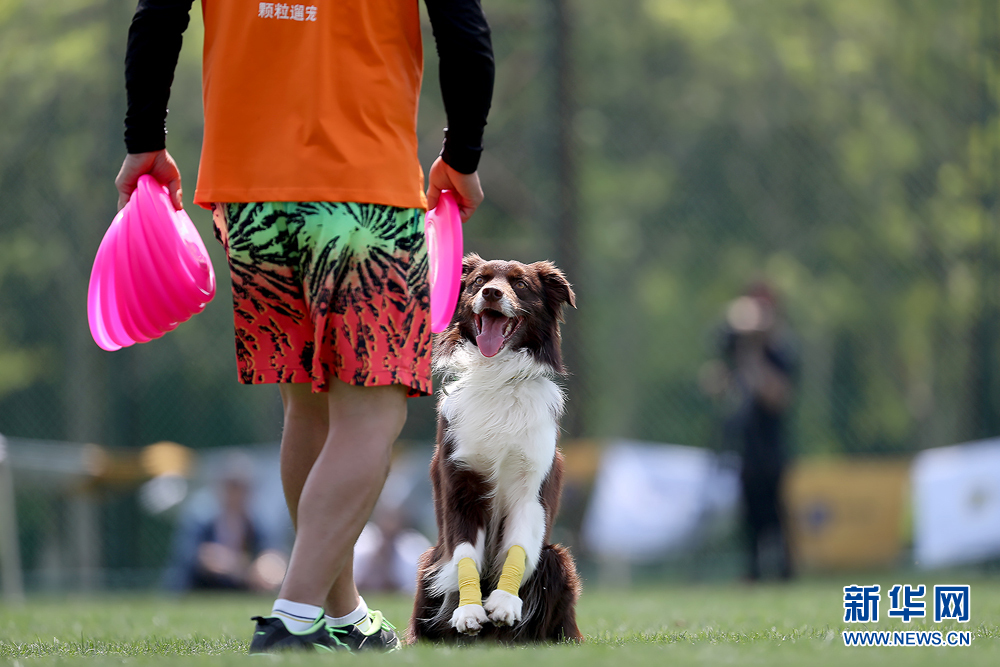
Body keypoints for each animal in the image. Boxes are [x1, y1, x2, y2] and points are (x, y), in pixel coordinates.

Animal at [404, 253, 584, 644]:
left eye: (520, 284)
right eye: (479, 281)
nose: (491, 293)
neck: (497, 376)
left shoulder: (531, 487)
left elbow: (518, 546)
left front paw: (503, 603)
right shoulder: (460, 486)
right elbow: (464, 554)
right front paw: (469, 610)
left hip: (558, 559)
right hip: (428, 561)